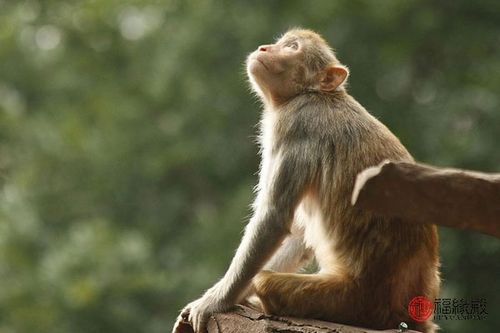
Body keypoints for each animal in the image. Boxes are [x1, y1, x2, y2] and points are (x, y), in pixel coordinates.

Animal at [174, 28, 440, 332]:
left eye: (292, 47)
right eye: (280, 43)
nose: (264, 48)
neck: (311, 94)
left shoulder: (294, 127)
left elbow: (274, 218)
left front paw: (215, 302)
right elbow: (299, 233)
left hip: (348, 301)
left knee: (266, 280)